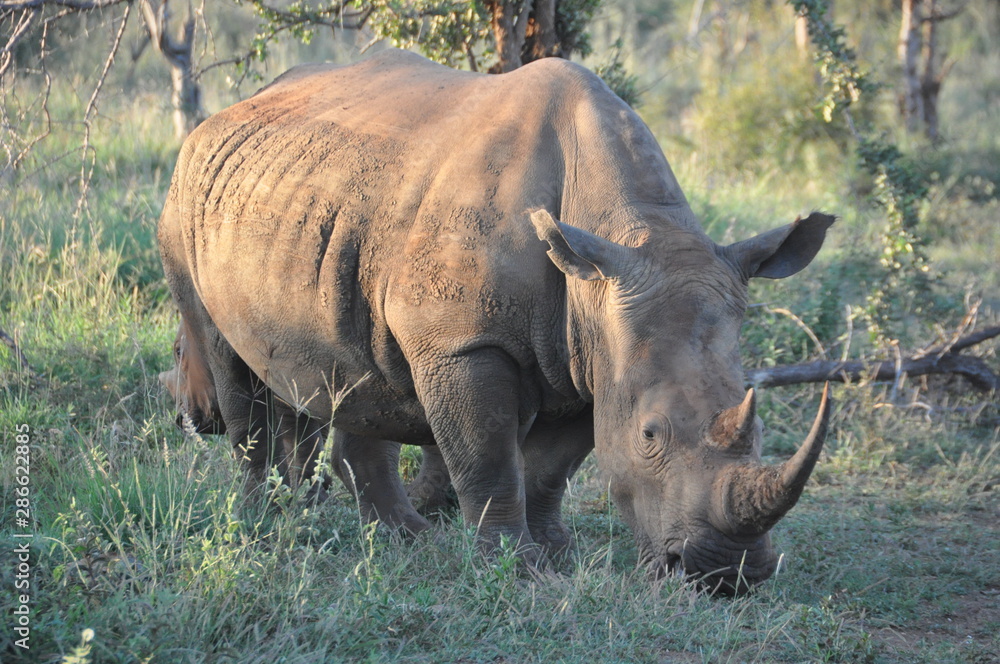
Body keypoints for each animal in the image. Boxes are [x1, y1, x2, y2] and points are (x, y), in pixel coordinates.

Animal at [158, 48, 834, 594]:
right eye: (650, 435)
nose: (725, 575)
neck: (632, 229)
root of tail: (225, 115)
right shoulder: (463, 342)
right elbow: (488, 458)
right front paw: (518, 569)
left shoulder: (589, 352)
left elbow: (549, 468)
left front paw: (556, 557)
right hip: (185, 199)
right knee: (230, 362)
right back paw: (268, 522)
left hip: (324, 206)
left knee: (352, 371)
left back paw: (402, 538)